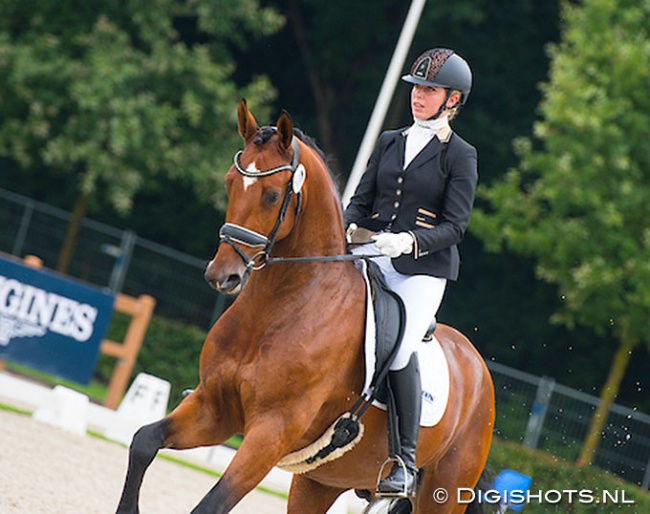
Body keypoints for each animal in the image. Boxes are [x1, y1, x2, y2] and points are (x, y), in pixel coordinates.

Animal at [115, 100, 492, 512]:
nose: (222, 276)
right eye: (230, 182)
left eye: (271, 195)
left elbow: (211, 504)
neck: (276, 311)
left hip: (444, 490)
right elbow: (144, 441)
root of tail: (479, 369)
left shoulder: (272, 432)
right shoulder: (213, 410)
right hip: (318, 482)